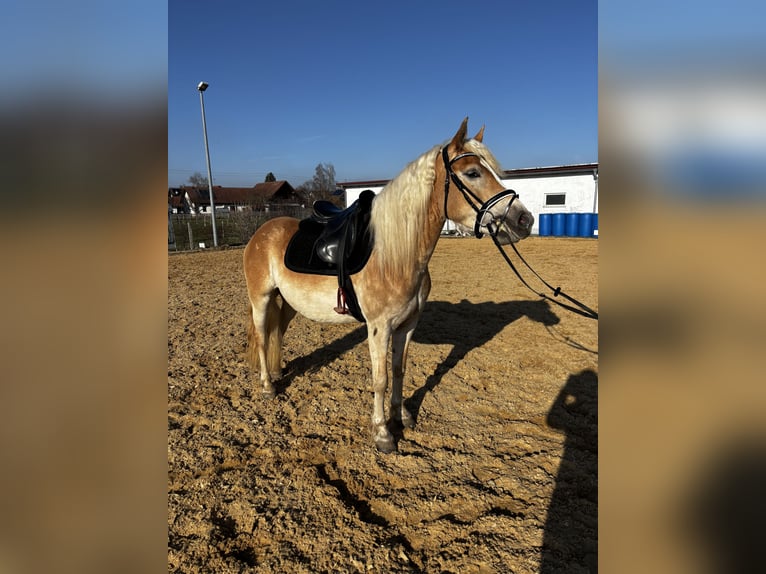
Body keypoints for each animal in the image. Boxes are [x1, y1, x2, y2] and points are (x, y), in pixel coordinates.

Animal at [243, 118, 534, 452]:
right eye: (473, 173)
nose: (524, 219)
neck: (395, 255)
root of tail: (261, 232)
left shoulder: (407, 325)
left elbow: (398, 370)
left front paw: (402, 416)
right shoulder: (379, 328)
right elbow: (380, 379)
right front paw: (382, 433)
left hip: (288, 302)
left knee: (277, 332)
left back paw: (278, 372)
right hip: (261, 299)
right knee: (262, 336)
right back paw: (267, 385)